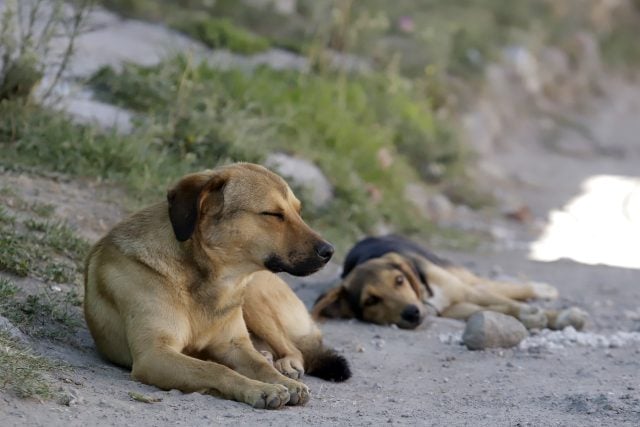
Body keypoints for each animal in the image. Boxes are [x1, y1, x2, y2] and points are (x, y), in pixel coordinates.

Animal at [85, 164, 350, 412]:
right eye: (273, 214)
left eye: (298, 211)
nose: (329, 251)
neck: (209, 281)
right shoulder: (154, 354)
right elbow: (215, 369)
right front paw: (260, 389)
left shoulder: (233, 345)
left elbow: (259, 366)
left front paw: (282, 381)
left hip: (254, 299)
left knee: (294, 349)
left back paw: (285, 364)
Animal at [312, 234, 588, 332]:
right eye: (371, 300)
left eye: (399, 280)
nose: (412, 313)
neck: (426, 298)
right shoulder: (456, 308)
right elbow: (497, 309)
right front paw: (530, 318)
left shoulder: (465, 292)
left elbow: (508, 302)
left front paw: (532, 312)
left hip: (463, 278)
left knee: (505, 288)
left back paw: (546, 292)